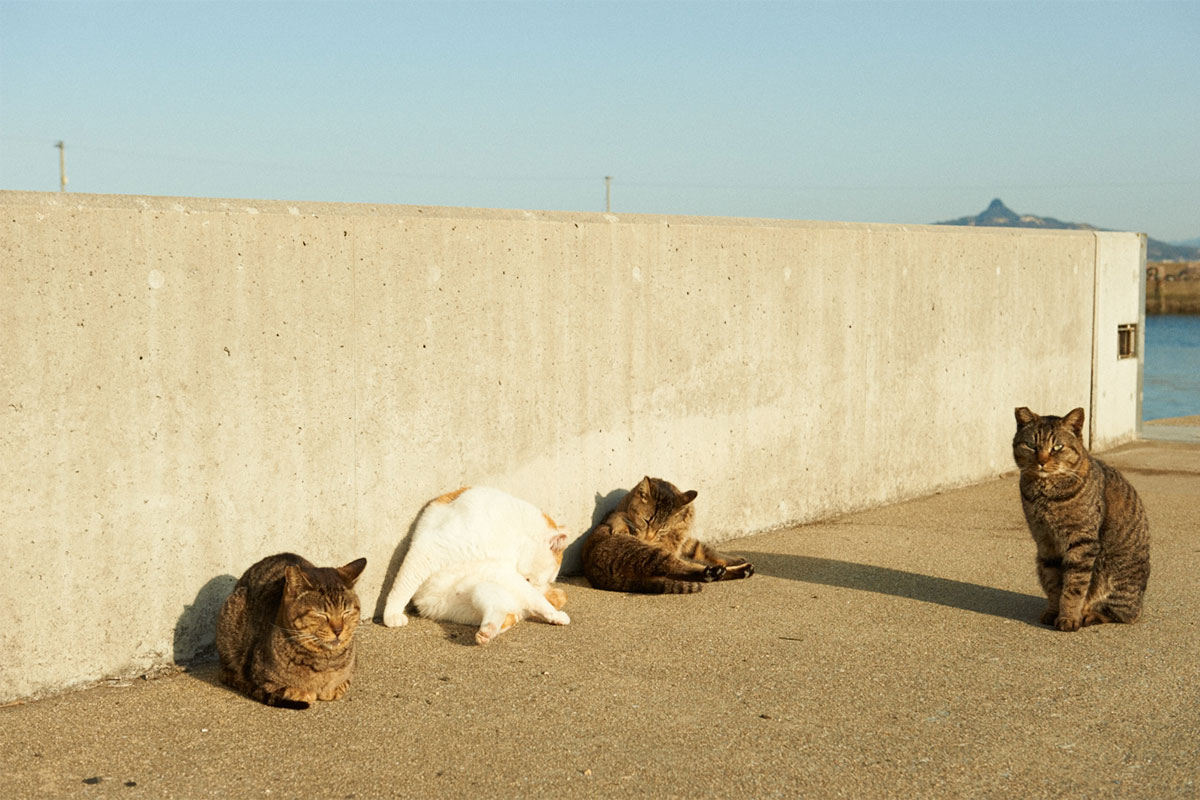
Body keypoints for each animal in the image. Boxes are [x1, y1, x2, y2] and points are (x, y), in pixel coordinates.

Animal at [216, 554, 364, 710]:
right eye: (321, 613)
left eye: (347, 611)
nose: (338, 630)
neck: (326, 661)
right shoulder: (260, 677)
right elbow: (290, 689)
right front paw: (305, 693)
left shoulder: (349, 675)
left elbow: (341, 686)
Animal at [578, 474, 748, 594]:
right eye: (646, 521)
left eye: (662, 528)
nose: (649, 538)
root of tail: (595, 574)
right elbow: (620, 518)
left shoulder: (686, 542)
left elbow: (706, 550)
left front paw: (733, 559)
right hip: (651, 554)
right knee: (680, 567)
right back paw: (719, 571)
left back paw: (738, 569)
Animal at [1012, 407, 1152, 633]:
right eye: (1031, 445)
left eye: (1057, 447)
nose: (1042, 461)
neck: (1044, 494)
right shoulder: (1045, 544)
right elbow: (1054, 584)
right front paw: (1054, 612)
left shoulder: (1082, 542)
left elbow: (1073, 587)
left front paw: (1068, 617)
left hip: (1113, 573)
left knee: (1124, 614)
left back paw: (1088, 615)